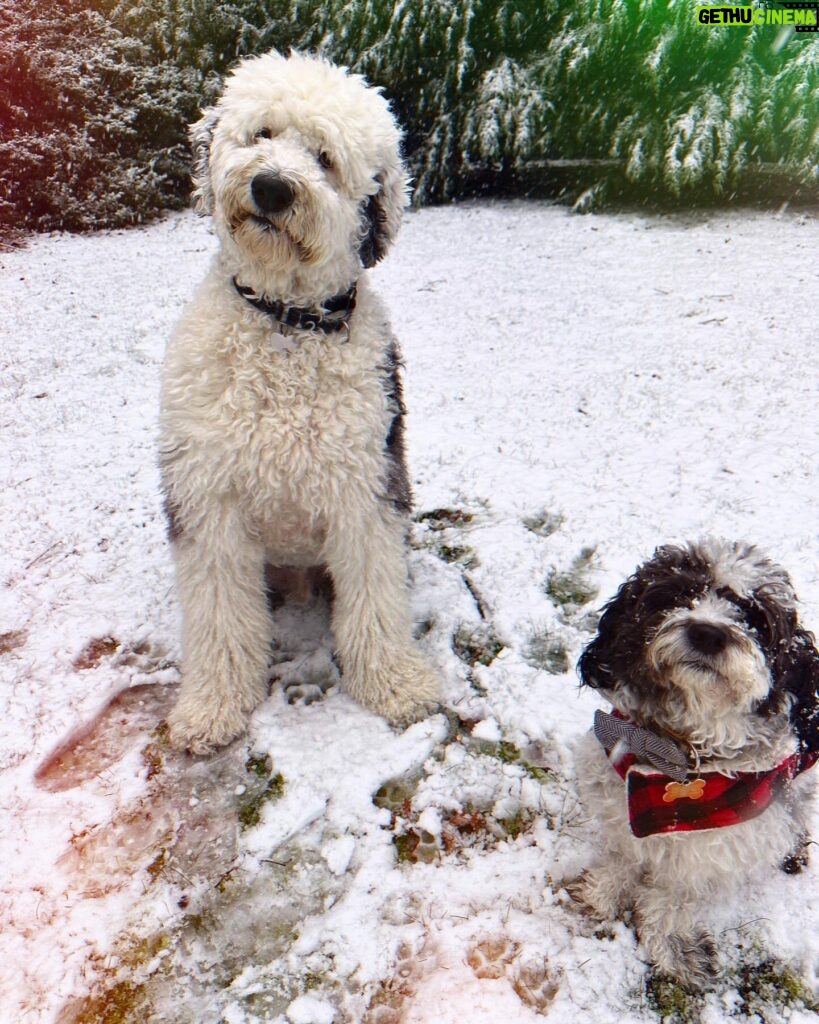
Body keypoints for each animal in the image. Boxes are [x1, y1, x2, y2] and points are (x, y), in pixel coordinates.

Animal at [161, 49, 442, 753]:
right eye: (261, 133)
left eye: (324, 157)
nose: (272, 188)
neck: (287, 323)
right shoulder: (208, 500)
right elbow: (221, 621)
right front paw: (211, 709)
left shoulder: (365, 488)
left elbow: (374, 601)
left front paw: (396, 685)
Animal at [573, 540, 814, 987]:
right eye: (679, 593)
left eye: (755, 616)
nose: (707, 632)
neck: (674, 755)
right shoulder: (617, 798)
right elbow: (623, 851)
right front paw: (604, 891)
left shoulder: (719, 847)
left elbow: (675, 893)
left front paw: (673, 948)